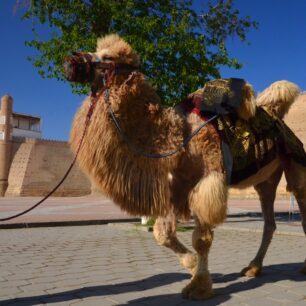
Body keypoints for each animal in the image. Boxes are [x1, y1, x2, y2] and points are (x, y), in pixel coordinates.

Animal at [69, 34, 306, 300]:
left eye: (107, 57)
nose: (72, 59)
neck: (175, 136)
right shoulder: (176, 188)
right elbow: (163, 234)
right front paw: (192, 266)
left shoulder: (209, 181)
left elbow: (201, 238)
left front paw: (199, 286)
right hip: (265, 180)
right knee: (269, 222)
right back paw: (253, 267)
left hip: (296, 166)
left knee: (301, 206)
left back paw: (302, 267)